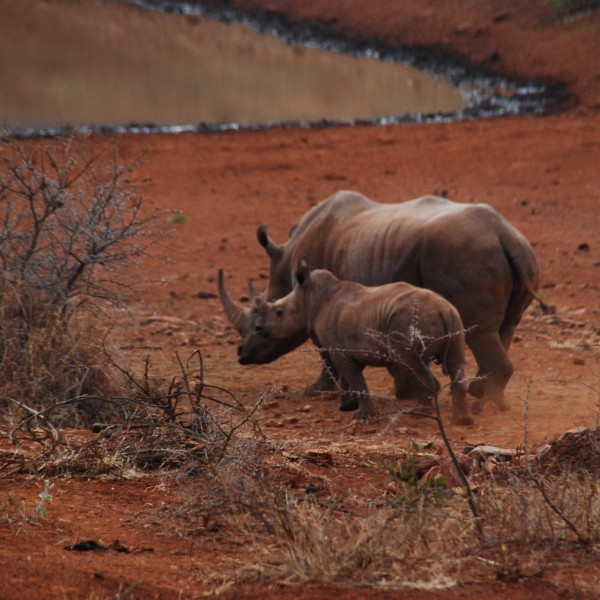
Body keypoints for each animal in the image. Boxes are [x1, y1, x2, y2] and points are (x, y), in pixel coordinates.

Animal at [233, 262, 474, 426]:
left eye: (277, 313)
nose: (242, 355)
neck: (309, 297)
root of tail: (443, 309)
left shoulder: (341, 350)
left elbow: (353, 378)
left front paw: (362, 416)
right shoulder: (345, 347)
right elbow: (346, 379)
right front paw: (346, 406)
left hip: (409, 322)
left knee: (408, 362)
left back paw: (419, 412)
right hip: (455, 320)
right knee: (455, 363)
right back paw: (461, 420)